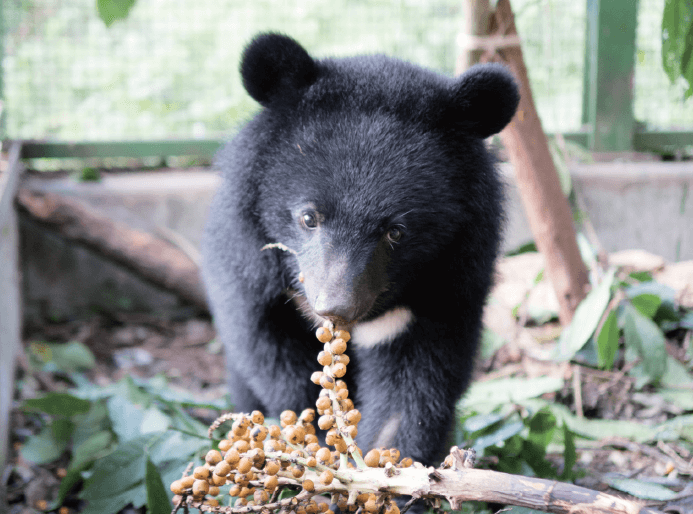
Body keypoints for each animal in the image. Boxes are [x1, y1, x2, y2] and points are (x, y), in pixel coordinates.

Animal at [202, 33, 519, 469]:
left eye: (396, 232)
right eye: (308, 218)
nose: (336, 307)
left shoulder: (451, 278)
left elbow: (417, 382)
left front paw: (389, 465)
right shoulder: (250, 260)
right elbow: (270, 351)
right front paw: (313, 444)